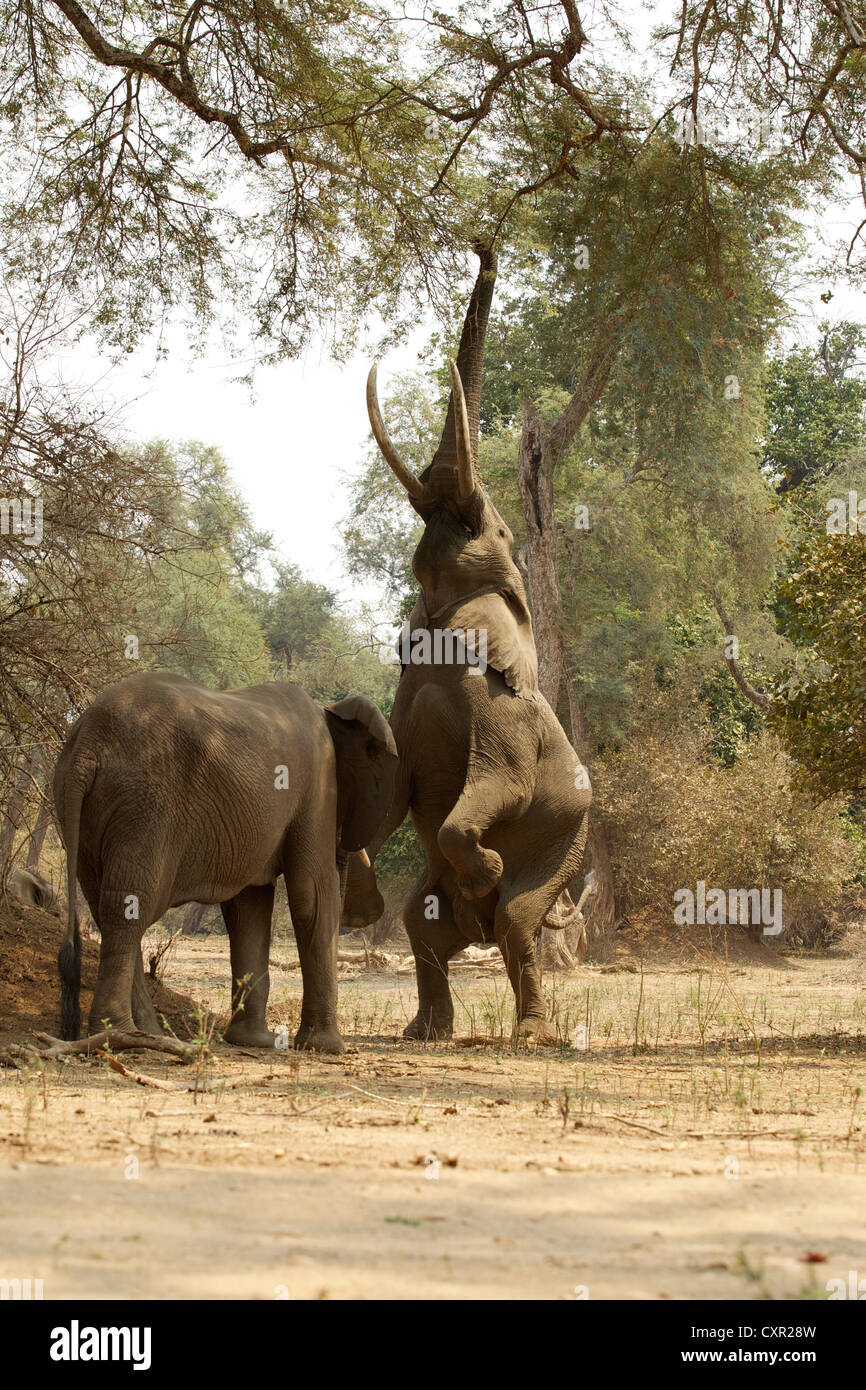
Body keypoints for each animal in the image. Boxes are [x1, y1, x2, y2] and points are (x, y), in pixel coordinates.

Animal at [50, 675, 397, 1050]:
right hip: (144, 805)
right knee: (129, 907)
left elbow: (249, 908)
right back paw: (120, 1036)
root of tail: (86, 744)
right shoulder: (317, 785)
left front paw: (253, 1041)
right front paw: (326, 1048)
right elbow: (312, 896)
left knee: (107, 908)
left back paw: (146, 1033)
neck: (329, 711)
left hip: (85, 809)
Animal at [346, 241, 589, 1045]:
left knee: (516, 923)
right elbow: (387, 788)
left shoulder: (501, 715)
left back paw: (532, 1029)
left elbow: (491, 792)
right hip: (449, 907)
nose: (485, 243)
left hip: (563, 850)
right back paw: (425, 1031)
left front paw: (484, 867)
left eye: (502, 533)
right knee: (421, 925)